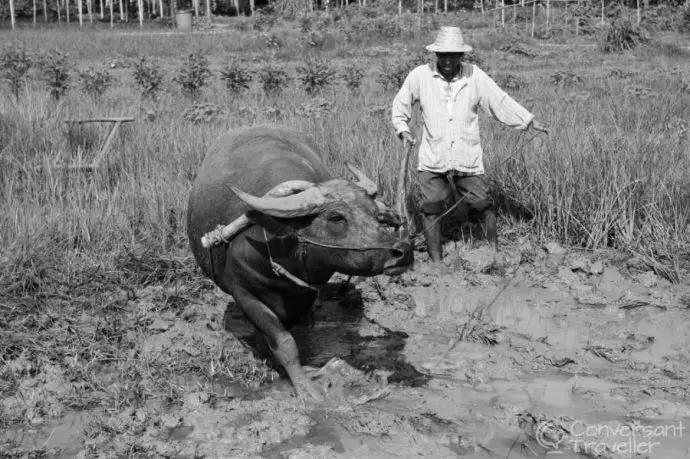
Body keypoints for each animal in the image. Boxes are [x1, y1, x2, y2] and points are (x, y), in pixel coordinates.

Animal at [185, 125, 412, 398]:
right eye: (336, 217)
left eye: (375, 214)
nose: (403, 250)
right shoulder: (243, 292)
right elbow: (283, 341)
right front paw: (305, 389)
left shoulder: (307, 290)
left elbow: (299, 332)